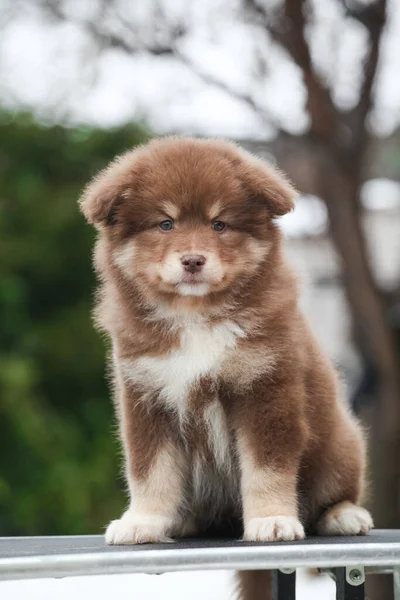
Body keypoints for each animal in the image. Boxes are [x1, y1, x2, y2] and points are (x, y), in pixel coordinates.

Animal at [79, 137, 374, 552]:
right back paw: (181, 520)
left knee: (336, 491)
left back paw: (344, 515)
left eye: (219, 224)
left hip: (340, 444)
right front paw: (142, 522)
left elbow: (267, 468)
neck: (196, 317)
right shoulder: (146, 396)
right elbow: (149, 470)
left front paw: (272, 521)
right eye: (165, 224)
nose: (193, 260)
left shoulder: (265, 389)